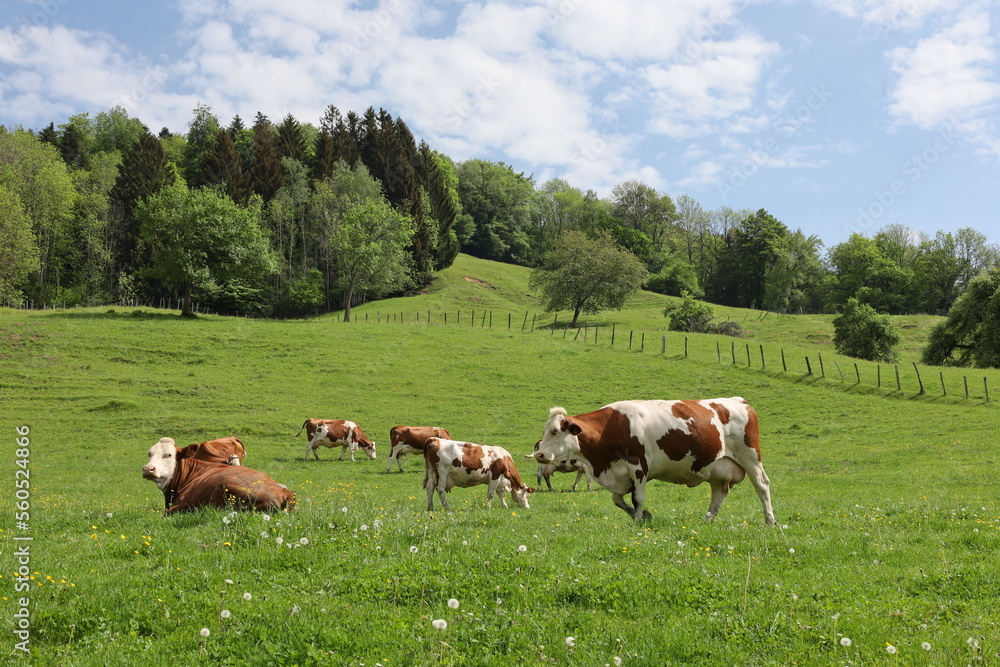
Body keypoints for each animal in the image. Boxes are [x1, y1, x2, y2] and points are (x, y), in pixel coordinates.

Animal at [532, 396, 772, 528]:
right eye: (544, 431)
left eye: (555, 431)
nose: (539, 455)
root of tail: (737, 401)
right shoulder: (620, 474)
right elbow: (617, 500)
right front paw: (644, 516)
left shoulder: (638, 466)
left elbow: (638, 498)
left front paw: (639, 520)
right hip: (717, 467)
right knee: (719, 493)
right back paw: (707, 519)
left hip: (750, 457)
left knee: (762, 486)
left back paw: (770, 520)